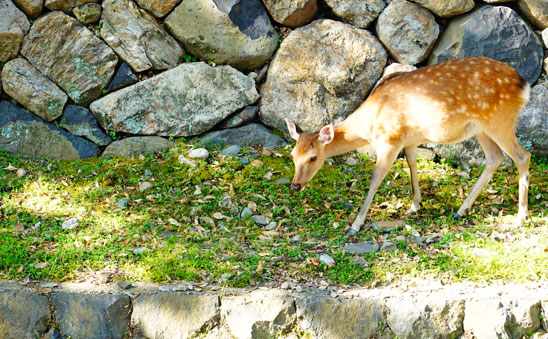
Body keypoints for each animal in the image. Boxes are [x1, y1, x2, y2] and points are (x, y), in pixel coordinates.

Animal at [286, 57, 532, 235]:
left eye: (313, 157)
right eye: (292, 155)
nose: (296, 185)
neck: (369, 125)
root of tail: (524, 85)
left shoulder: (390, 139)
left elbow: (375, 179)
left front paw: (356, 224)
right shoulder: (410, 140)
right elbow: (412, 165)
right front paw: (414, 205)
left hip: (499, 120)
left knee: (522, 156)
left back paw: (519, 218)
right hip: (481, 128)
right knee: (495, 158)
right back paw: (461, 210)